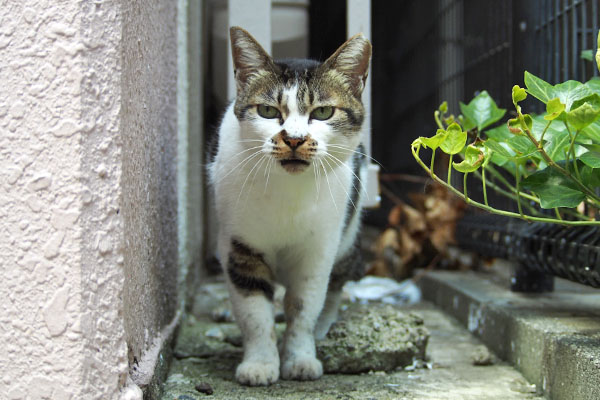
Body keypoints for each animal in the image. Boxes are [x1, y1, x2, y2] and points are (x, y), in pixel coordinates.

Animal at [209, 26, 372, 386]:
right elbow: (255, 313)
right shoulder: (239, 246)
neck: (288, 192)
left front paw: (300, 358)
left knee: (335, 286)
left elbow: (303, 307)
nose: (294, 139)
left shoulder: (318, 251)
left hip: (347, 239)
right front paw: (260, 364)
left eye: (323, 112)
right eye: (268, 111)